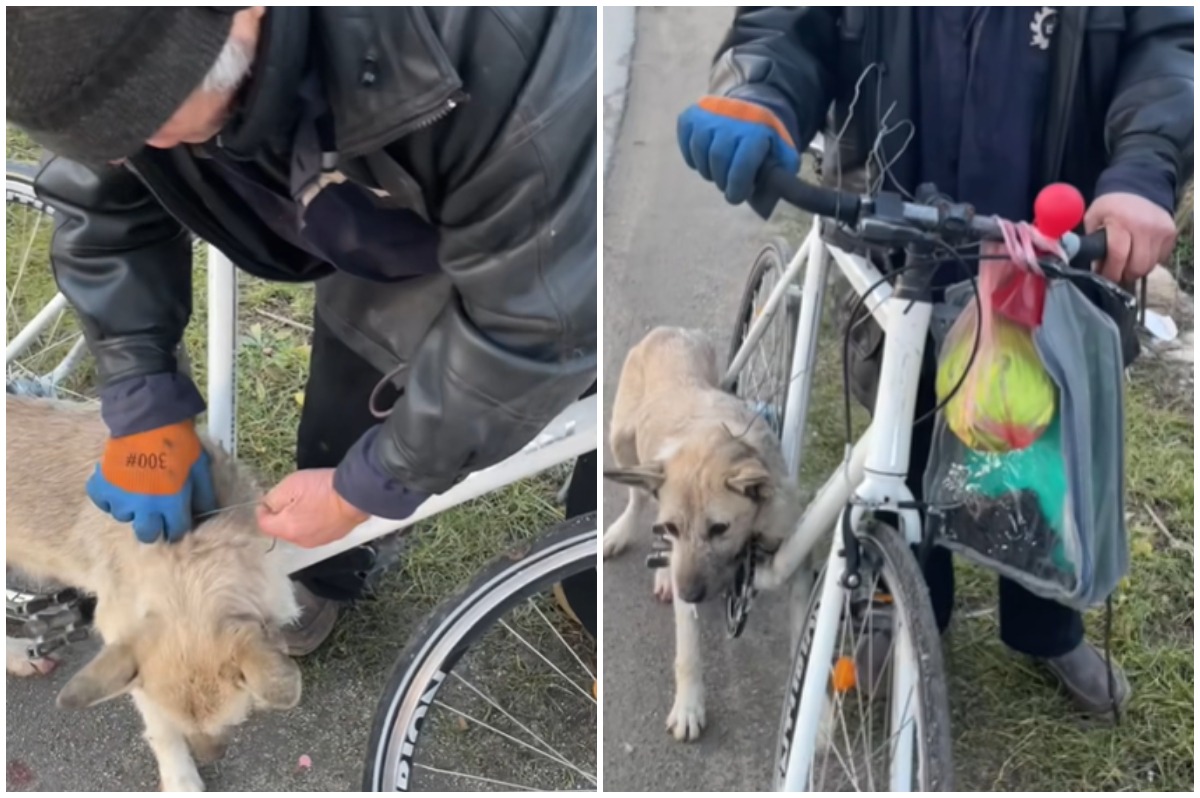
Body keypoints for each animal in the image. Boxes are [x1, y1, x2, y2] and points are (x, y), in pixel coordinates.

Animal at [7, 393, 304, 792]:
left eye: (231, 716)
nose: (212, 757)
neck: (187, 558)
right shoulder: (125, 638)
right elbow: (160, 726)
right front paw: (180, 777)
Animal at [604, 326, 801, 739]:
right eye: (675, 526)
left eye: (719, 528)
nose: (689, 592)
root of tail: (669, 332)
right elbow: (688, 651)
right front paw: (689, 705)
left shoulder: (793, 556)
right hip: (622, 441)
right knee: (638, 497)